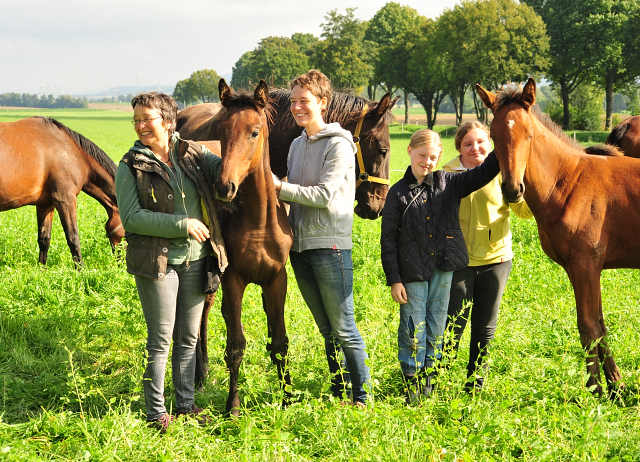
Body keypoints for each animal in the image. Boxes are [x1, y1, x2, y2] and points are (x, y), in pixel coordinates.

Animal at [0, 117, 124, 266]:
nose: (122, 264)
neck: (73, 152)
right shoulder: (65, 200)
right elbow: (73, 239)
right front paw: (81, 270)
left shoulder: (45, 205)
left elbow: (44, 240)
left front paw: (42, 269)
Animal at [478, 79, 640, 398]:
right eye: (492, 135)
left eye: (529, 134)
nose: (512, 189)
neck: (569, 182)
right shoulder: (588, 270)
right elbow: (600, 324)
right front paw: (616, 386)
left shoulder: (585, 266)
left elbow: (588, 327)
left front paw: (595, 390)